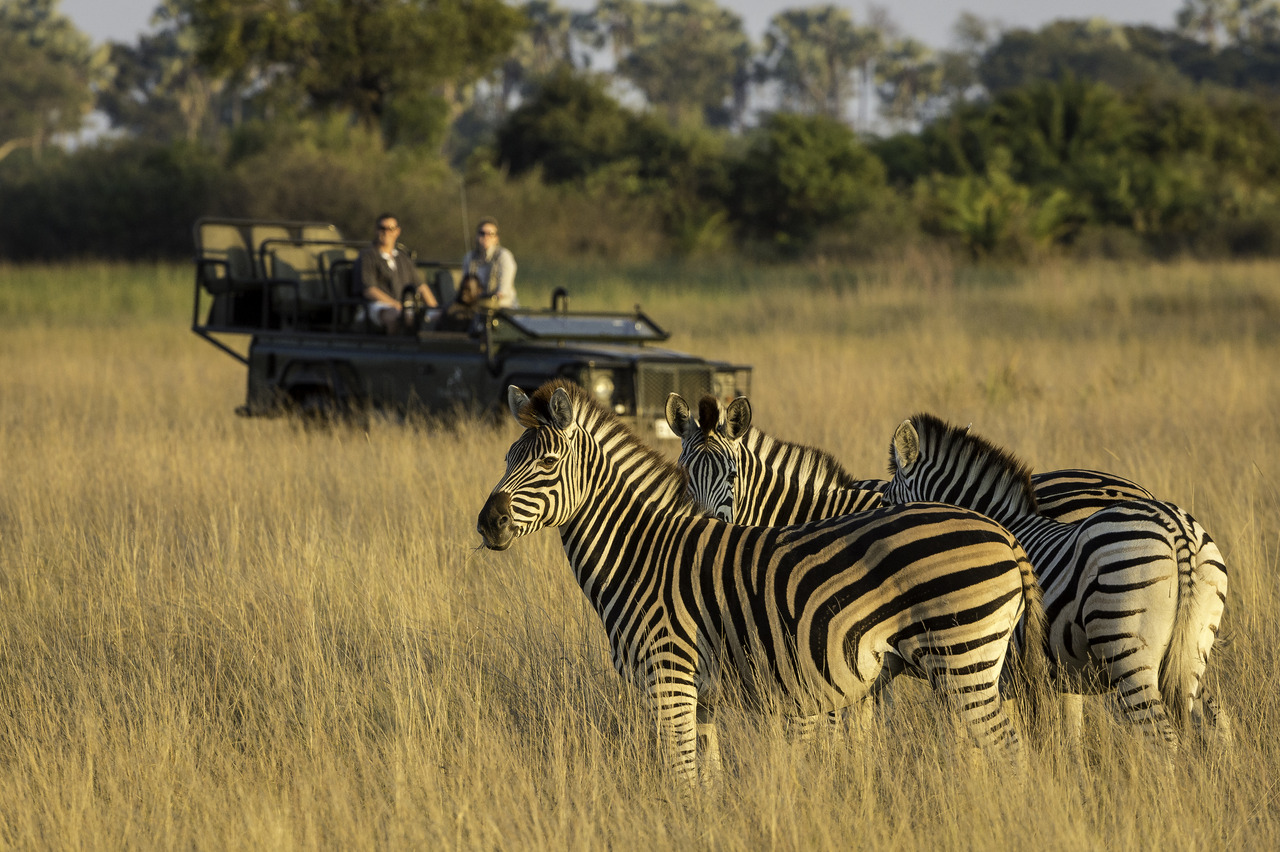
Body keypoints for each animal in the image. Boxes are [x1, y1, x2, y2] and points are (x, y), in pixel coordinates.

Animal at [481, 381, 1049, 788]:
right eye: (507, 459)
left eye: (547, 463)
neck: (642, 552)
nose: (488, 523)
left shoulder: (669, 680)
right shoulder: (701, 697)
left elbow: (679, 780)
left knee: (1012, 754)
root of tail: (1004, 534)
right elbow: (705, 782)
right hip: (974, 665)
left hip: (963, 661)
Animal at [880, 411, 1228, 752]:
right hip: (1192, 647)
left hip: (1127, 648)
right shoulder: (1054, 674)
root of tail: (1178, 529)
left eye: (884, 504)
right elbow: (1067, 736)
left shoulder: (1000, 669)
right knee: (1207, 716)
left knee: (1161, 736)